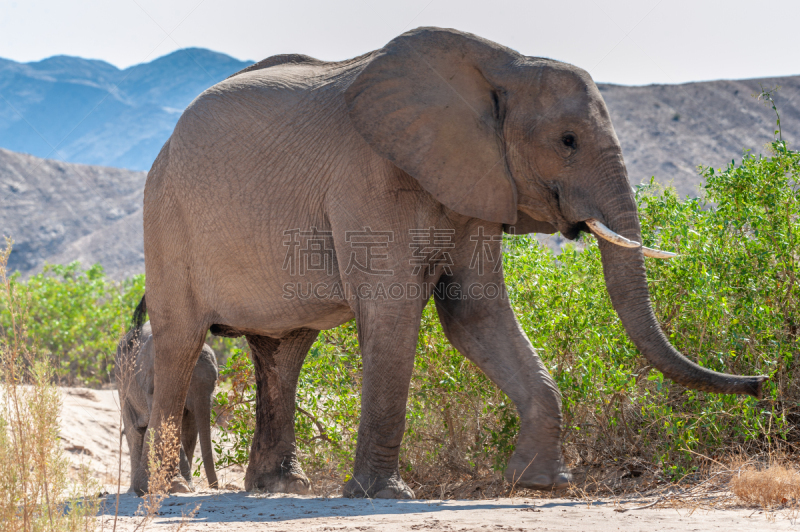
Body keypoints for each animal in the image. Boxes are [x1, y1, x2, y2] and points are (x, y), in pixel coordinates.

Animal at [115, 296, 219, 490]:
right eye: (187, 383)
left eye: (216, 381)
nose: (215, 487)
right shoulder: (150, 382)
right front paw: (184, 486)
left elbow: (189, 430)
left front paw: (188, 485)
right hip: (121, 382)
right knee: (135, 433)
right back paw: (133, 489)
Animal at [136, 26, 764, 498]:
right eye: (567, 141)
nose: (760, 382)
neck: (502, 64)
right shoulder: (369, 178)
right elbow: (394, 316)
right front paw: (383, 496)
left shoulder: (479, 183)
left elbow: (475, 313)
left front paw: (540, 484)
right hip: (166, 216)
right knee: (181, 342)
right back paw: (172, 491)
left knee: (283, 350)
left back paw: (280, 488)